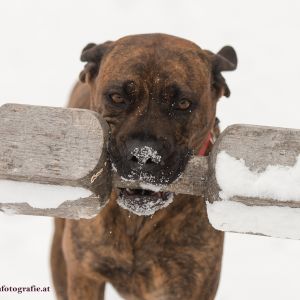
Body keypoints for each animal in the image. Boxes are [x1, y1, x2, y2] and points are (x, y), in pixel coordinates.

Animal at [51, 33, 237, 300]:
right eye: (117, 98)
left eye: (183, 103)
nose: (142, 155)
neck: (136, 223)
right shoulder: (84, 275)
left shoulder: (188, 284)